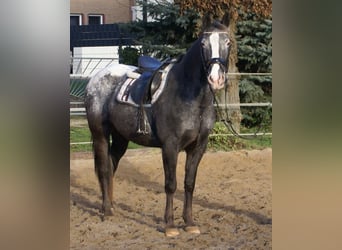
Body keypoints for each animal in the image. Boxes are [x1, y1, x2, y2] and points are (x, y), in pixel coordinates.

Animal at [84, 13, 231, 236]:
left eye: (228, 42)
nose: (216, 78)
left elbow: (189, 183)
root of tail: (96, 78)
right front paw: (170, 225)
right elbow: (171, 184)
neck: (190, 96)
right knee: (103, 168)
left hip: (121, 138)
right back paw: (106, 211)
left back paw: (110, 206)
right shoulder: (170, 146)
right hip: (100, 133)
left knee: (111, 166)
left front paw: (189, 222)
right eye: (204, 43)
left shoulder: (198, 147)